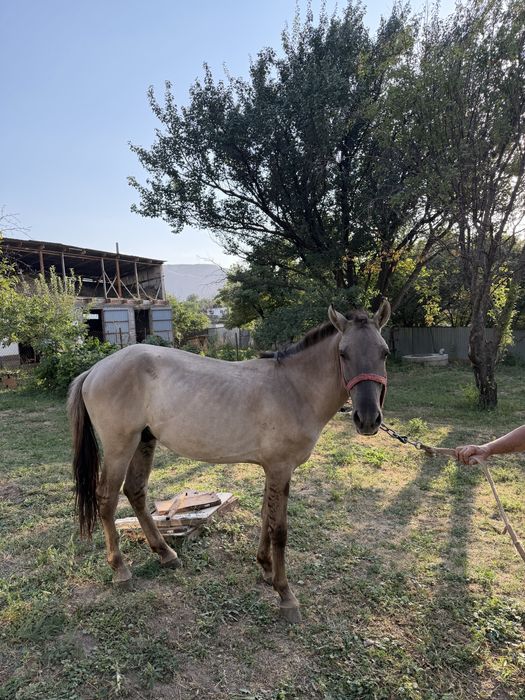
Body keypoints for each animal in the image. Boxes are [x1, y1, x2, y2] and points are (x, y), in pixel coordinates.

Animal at [68, 300, 391, 623]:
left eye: (384, 352)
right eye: (343, 353)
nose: (368, 419)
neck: (293, 388)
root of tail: (95, 370)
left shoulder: (272, 470)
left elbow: (266, 517)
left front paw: (265, 568)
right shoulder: (280, 468)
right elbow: (279, 530)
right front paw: (285, 595)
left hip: (144, 441)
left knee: (135, 492)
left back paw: (166, 554)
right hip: (120, 447)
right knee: (107, 500)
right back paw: (120, 569)